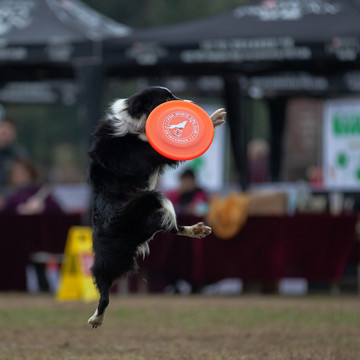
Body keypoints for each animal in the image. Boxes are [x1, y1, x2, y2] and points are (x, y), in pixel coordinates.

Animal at [87, 86, 225, 328]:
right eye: (167, 98)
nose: (191, 104)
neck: (135, 123)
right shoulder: (150, 151)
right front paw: (213, 118)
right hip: (119, 242)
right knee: (104, 294)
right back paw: (96, 318)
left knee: (170, 228)